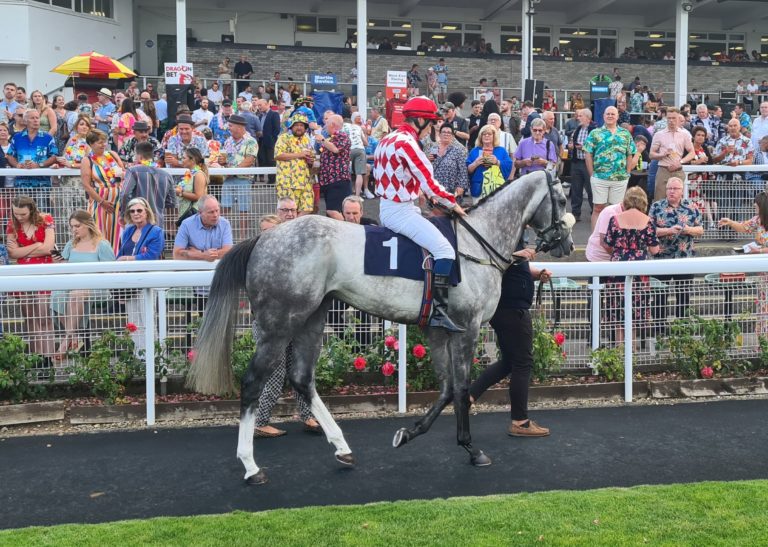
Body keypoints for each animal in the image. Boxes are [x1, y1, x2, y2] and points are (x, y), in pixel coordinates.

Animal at [187, 170, 574, 485]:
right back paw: (251, 466)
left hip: (312, 317)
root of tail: (262, 239)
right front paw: (471, 449)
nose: (567, 244)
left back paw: (342, 448)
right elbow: (461, 387)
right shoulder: (466, 328)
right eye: (562, 199)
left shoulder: (437, 330)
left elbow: (447, 389)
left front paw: (409, 433)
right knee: (253, 382)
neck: (474, 245)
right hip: (280, 323)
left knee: (302, 379)